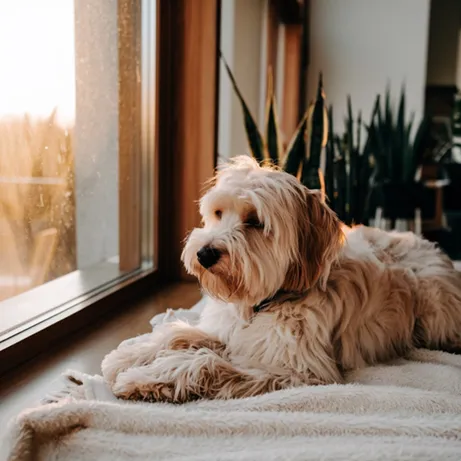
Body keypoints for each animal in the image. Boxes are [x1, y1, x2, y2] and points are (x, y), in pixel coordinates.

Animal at [101, 156, 460, 400]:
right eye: (218, 213)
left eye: (255, 222)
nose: (204, 254)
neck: (266, 300)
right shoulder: (229, 331)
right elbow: (178, 333)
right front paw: (128, 357)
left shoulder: (298, 372)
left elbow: (206, 363)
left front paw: (143, 378)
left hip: (434, 309)